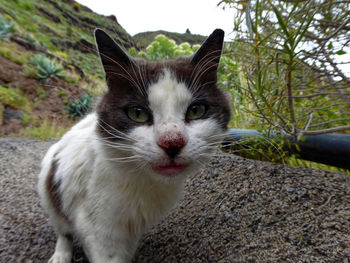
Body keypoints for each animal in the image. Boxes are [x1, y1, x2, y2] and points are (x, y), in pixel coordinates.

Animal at [38, 27, 231, 262]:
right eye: (137, 113)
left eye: (196, 110)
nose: (172, 142)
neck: (142, 181)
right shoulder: (97, 227)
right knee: (62, 229)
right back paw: (61, 253)